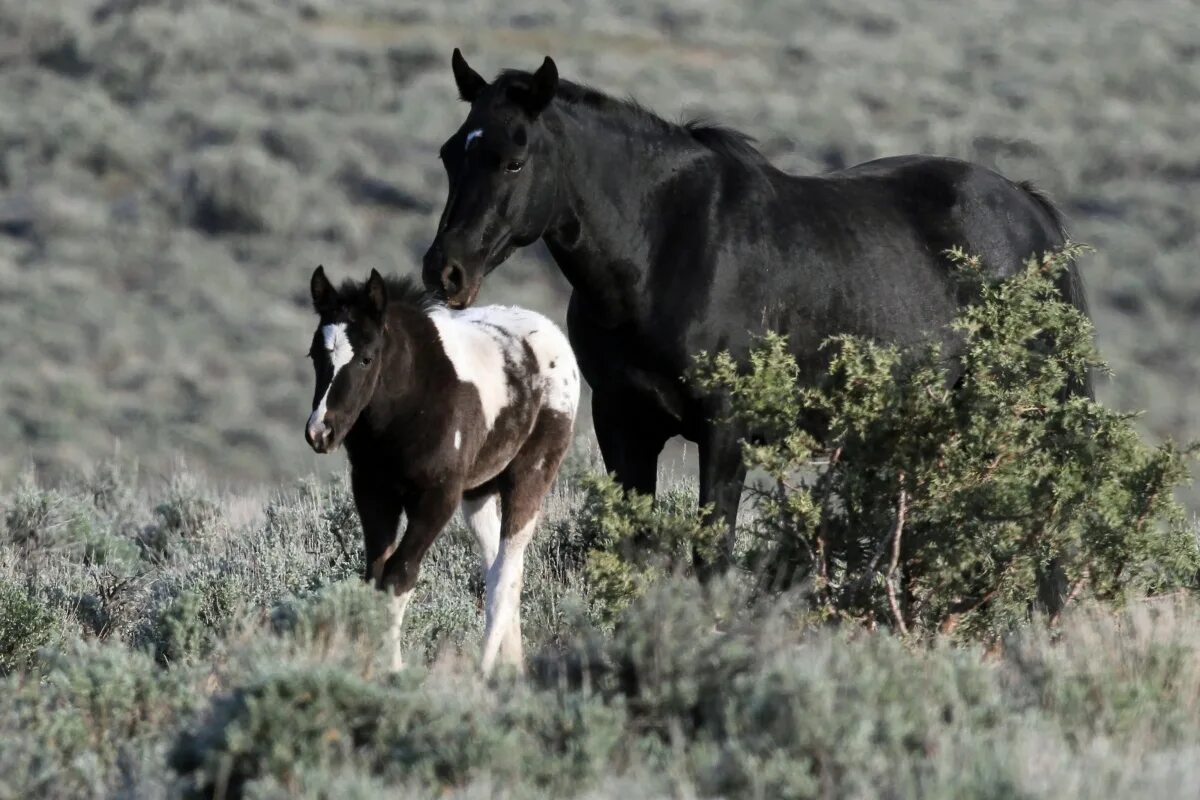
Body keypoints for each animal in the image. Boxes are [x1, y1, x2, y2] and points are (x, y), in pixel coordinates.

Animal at [302, 266, 578, 671]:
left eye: (367, 358)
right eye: (314, 355)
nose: (321, 432)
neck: (412, 403)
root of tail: (552, 334)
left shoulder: (437, 498)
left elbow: (399, 574)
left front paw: (393, 670)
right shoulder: (372, 492)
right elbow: (375, 575)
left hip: (531, 476)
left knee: (506, 575)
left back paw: (484, 672)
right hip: (478, 495)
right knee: (496, 567)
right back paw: (511, 668)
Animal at [427, 50, 1094, 573]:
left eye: (515, 160)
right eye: (450, 154)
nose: (446, 270)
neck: (665, 246)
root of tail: (1031, 212)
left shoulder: (726, 433)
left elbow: (711, 555)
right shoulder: (624, 424)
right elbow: (630, 551)